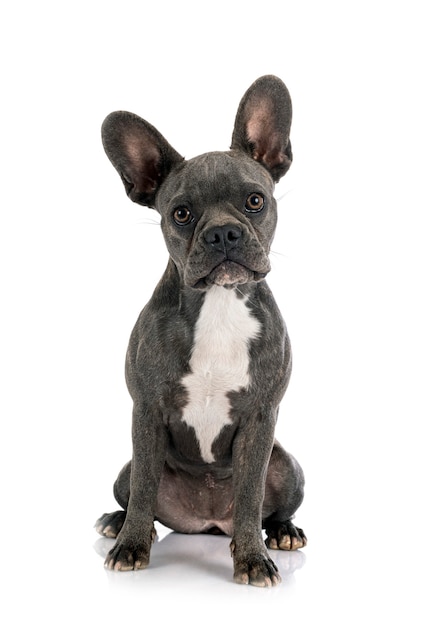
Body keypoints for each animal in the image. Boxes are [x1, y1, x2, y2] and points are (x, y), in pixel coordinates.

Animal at [95, 74, 308, 584]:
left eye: (255, 201)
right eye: (181, 213)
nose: (223, 232)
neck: (220, 304)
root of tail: (208, 522)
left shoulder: (260, 419)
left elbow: (250, 496)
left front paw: (252, 556)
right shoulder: (147, 411)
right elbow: (145, 490)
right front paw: (131, 545)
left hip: (289, 468)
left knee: (272, 505)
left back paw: (285, 531)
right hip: (125, 468)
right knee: (136, 491)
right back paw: (117, 522)